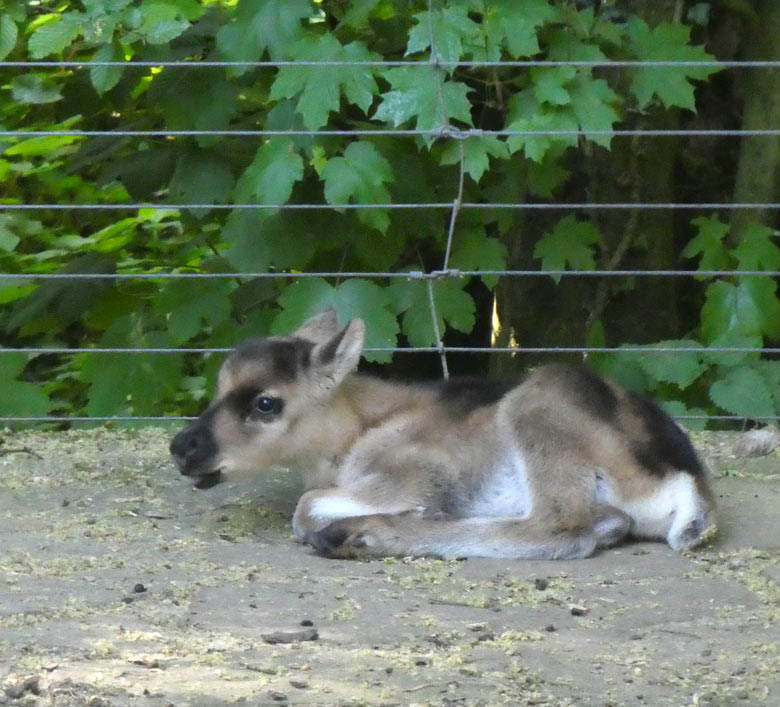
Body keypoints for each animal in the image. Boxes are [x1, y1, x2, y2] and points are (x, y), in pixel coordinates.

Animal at [169, 312, 712, 560]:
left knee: (565, 527)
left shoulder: (425, 471)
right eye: (219, 386)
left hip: (541, 413)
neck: (359, 432)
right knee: (605, 522)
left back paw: (359, 534)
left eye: (266, 403)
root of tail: (686, 484)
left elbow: (305, 507)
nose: (183, 447)